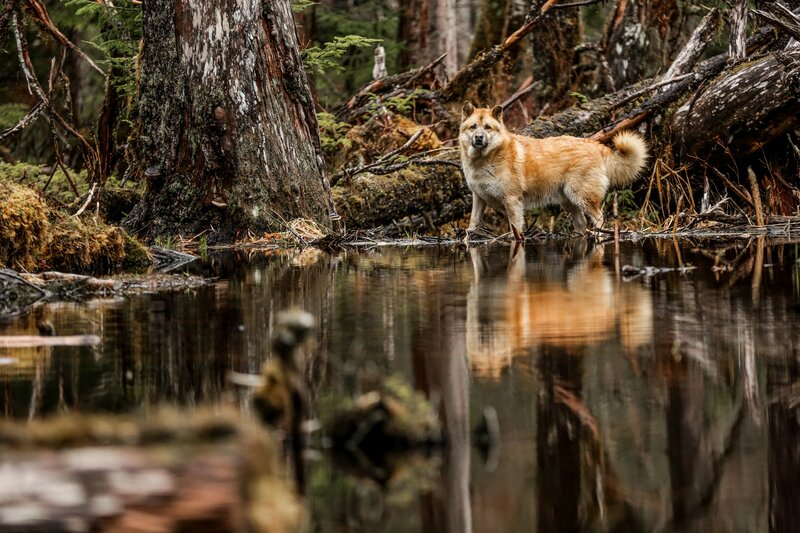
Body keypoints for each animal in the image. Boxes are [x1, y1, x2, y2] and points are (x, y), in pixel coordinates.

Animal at [460, 102, 648, 239]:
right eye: (473, 127)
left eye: (487, 127)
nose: (478, 138)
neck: (485, 160)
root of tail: (594, 144)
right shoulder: (479, 198)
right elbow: (472, 223)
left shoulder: (512, 200)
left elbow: (516, 230)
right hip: (569, 202)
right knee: (582, 224)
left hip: (583, 198)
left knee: (600, 220)